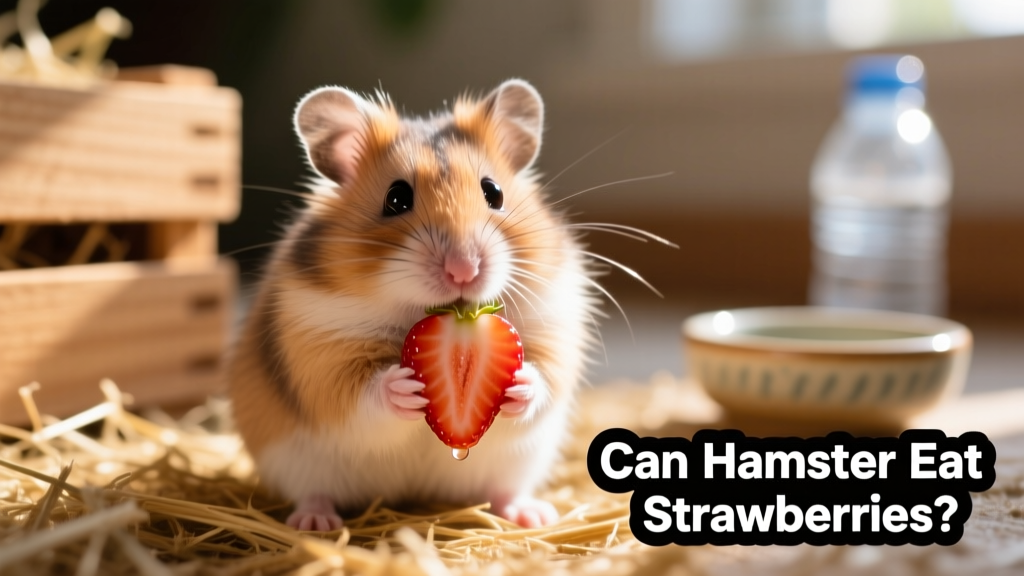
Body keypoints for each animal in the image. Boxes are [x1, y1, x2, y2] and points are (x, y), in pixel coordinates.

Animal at [228, 79, 598, 531]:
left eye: (493, 192)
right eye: (396, 198)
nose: (464, 269)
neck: (432, 312)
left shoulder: (554, 324)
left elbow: (544, 378)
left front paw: (518, 384)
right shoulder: (320, 352)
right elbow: (360, 396)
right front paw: (407, 387)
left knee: (504, 491)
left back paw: (533, 515)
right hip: (296, 464)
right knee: (313, 493)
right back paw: (315, 523)